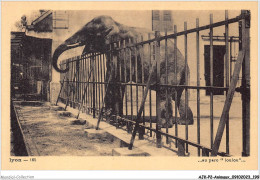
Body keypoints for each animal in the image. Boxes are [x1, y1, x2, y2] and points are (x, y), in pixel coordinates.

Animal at [52, 15, 193, 128]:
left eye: (90, 33)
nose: (65, 67)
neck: (117, 24)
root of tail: (185, 63)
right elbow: (110, 78)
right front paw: (111, 119)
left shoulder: (125, 51)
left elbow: (118, 79)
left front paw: (115, 120)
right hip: (181, 74)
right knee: (179, 95)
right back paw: (183, 122)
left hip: (170, 69)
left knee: (165, 92)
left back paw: (164, 126)